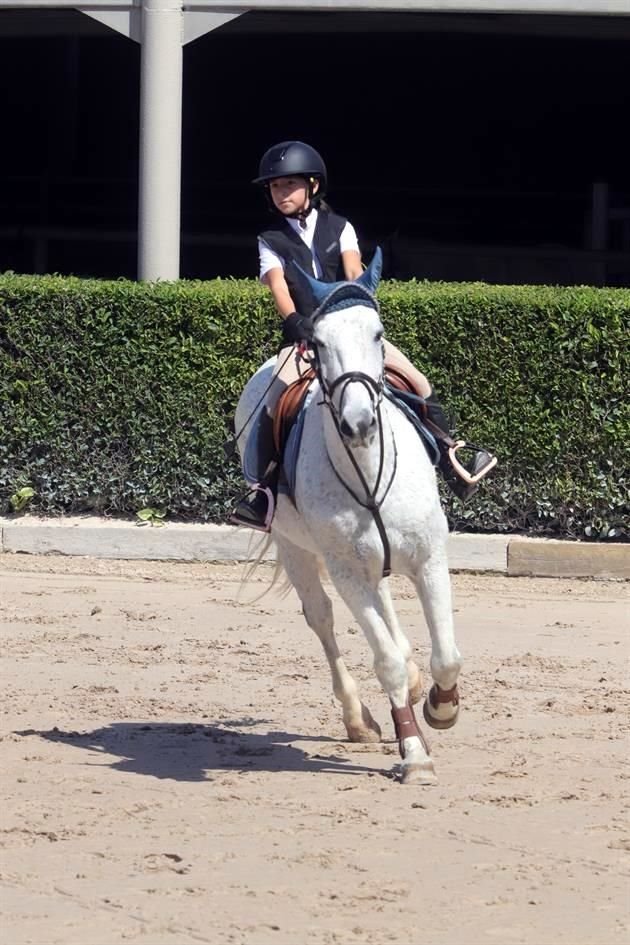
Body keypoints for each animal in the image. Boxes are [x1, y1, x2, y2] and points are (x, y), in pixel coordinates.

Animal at [235, 249, 462, 780]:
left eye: (377, 333)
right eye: (318, 342)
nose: (358, 423)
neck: (368, 470)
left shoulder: (429, 558)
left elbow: (446, 655)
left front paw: (441, 707)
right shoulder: (346, 574)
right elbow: (385, 662)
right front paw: (413, 751)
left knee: (390, 608)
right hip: (296, 550)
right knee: (322, 619)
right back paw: (359, 719)